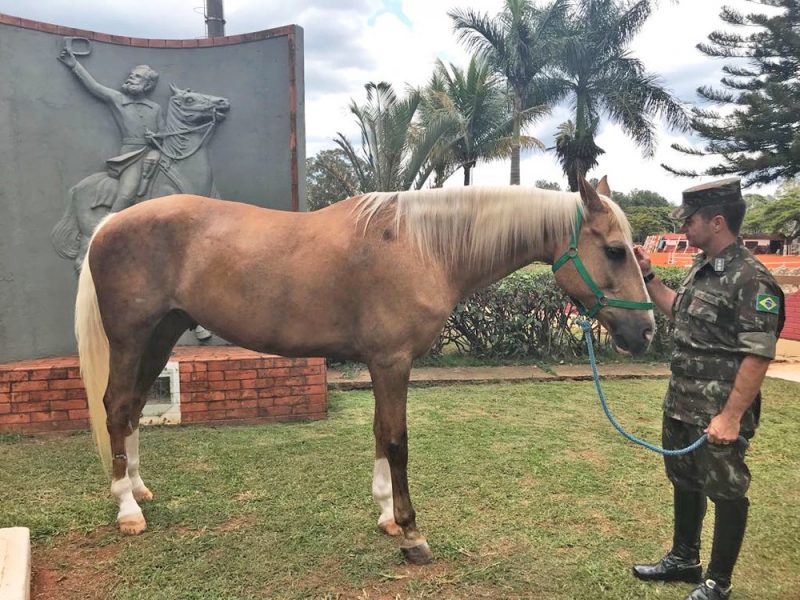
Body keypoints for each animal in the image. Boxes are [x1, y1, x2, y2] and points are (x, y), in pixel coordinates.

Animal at [75, 176, 652, 564]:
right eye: (615, 250)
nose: (645, 333)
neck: (420, 246)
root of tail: (108, 224)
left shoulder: (382, 363)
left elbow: (379, 433)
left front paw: (386, 517)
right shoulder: (393, 361)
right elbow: (397, 440)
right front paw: (413, 533)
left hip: (161, 334)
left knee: (133, 409)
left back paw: (138, 488)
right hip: (131, 339)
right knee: (117, 407)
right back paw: (127, 509)